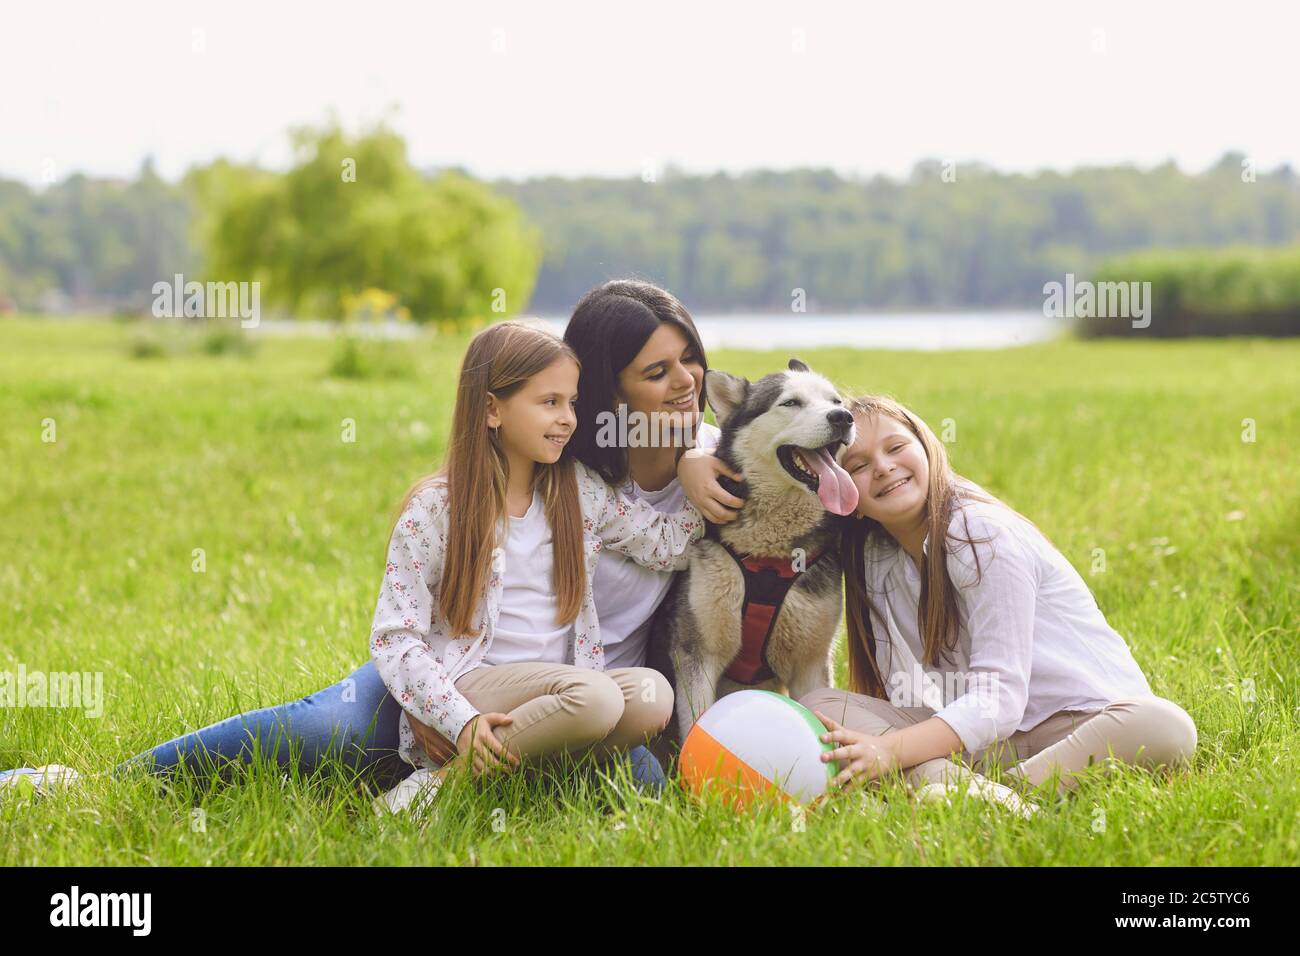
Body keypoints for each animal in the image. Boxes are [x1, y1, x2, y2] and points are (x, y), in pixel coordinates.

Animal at [655, 358, 857, 738]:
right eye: (791, 403)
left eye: (835, 401)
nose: (844, 418)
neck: (768, 557)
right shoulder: (696, 653)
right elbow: (695, 722)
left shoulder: (811, 662)